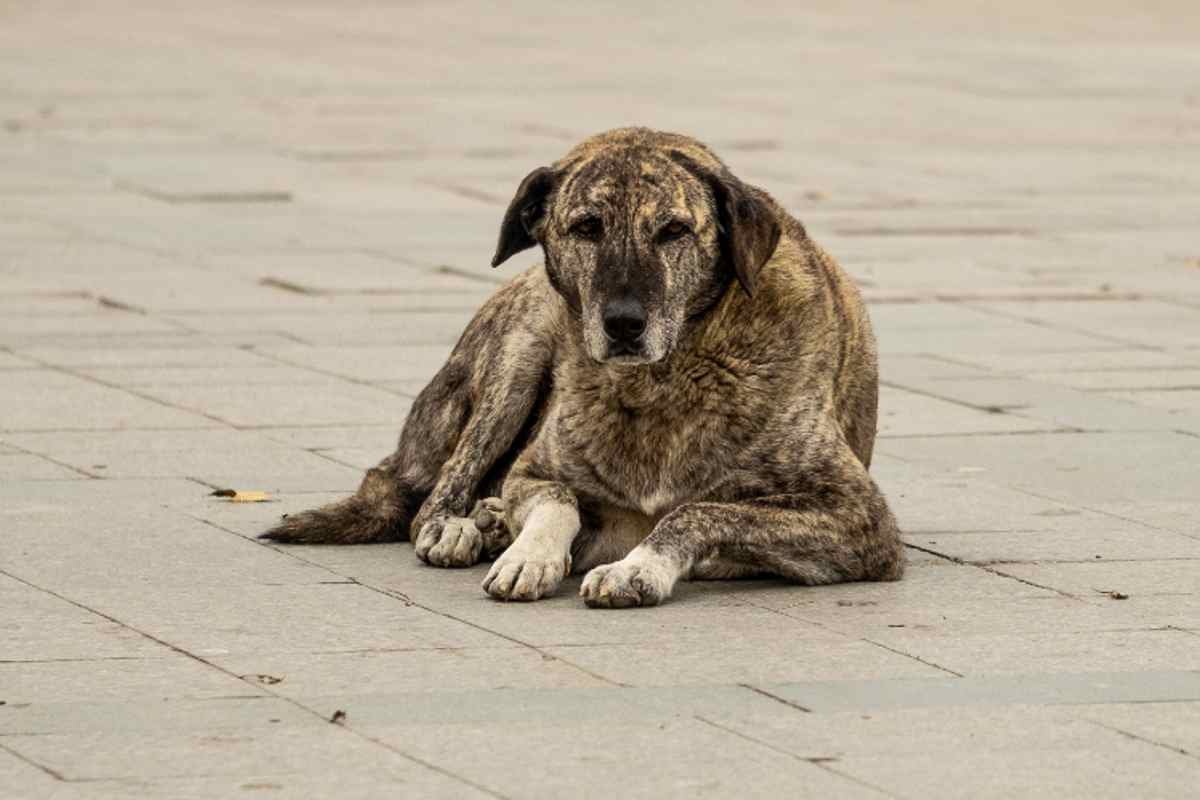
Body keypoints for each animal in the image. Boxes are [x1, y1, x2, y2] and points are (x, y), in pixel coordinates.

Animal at [262, 128, 902, 609]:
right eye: (586, 227)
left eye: (674, 230)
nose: (624, 322)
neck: (660, 383)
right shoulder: (533, 471)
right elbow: (556, 499)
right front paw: (529, 552)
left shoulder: (860, 518)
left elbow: (699, 510)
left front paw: (638, 566)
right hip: (521, 347)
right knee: (433, 498)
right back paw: (464, 524)